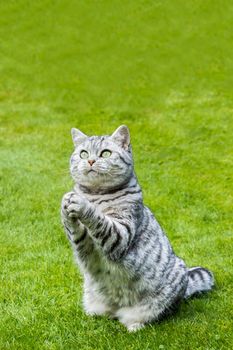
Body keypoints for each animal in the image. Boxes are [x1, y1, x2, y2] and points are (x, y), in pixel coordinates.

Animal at [61, 124, 214, 332]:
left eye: (105, 153)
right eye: (83, 153)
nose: (91, 160)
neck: (96, 195)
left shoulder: (120, 234)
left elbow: (100, 219)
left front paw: (82, 204)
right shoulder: (83, 243)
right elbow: (74, 229)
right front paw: (66, 203)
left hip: (154, 303)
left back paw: (134, 325)